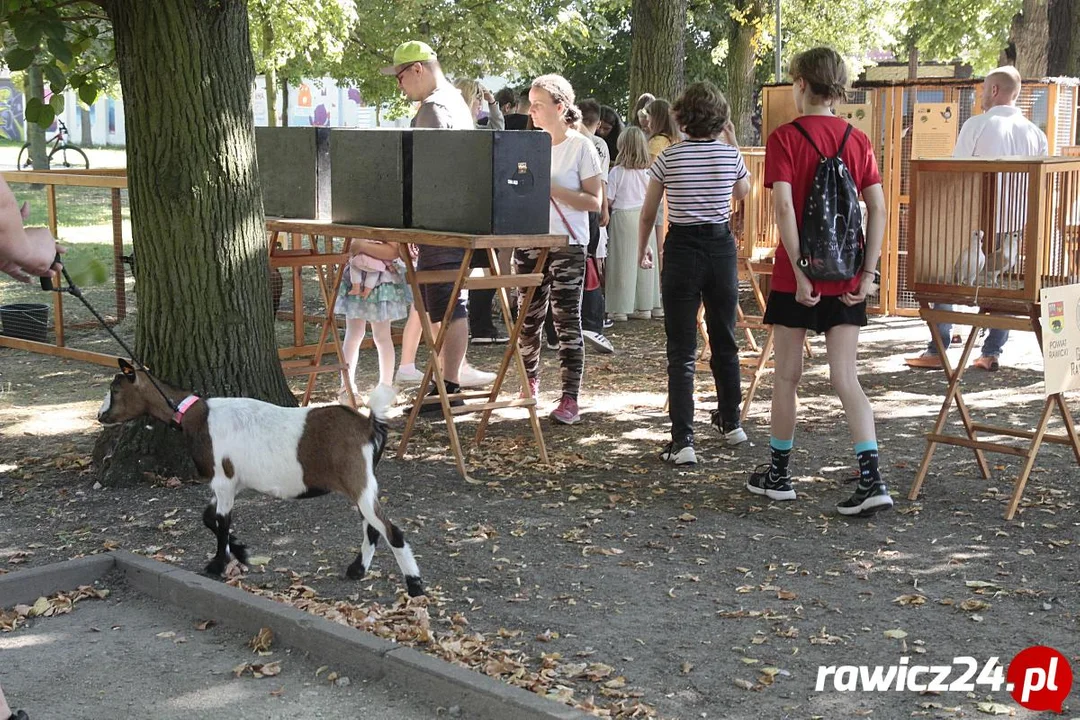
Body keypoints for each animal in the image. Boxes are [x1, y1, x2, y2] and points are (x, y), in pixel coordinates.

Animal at [99, 358, 423, 600]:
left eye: (115, 388)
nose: (101, 416)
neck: (197, 416)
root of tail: (368, 424)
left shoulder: (224, 480)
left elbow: (221, 522)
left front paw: (217, 565)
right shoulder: (228, 483)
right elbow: (209, 518)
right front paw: (241, 551)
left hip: (358, 481)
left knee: (391, 530)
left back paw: (415, 586)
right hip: (363, 484)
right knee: (372, 528)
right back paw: (357, 570)